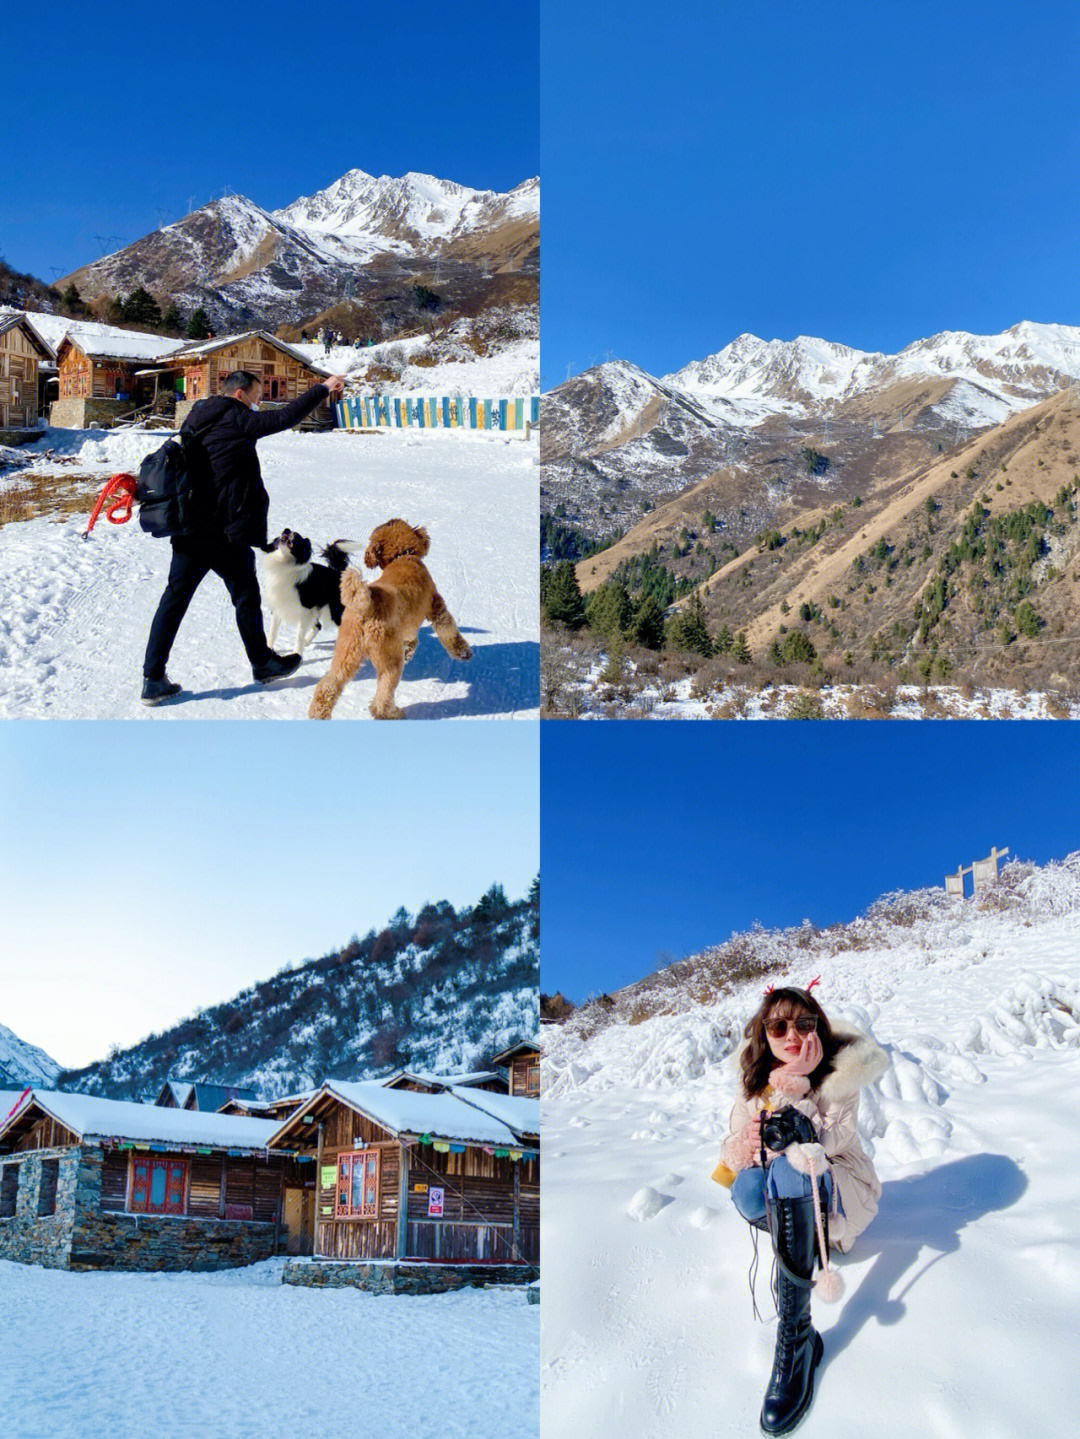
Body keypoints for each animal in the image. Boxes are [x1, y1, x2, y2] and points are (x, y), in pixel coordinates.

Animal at [306, 518, 471, 719]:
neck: (401, 557)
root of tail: (366, 606)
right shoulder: (436, 607)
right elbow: (448, 631)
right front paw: (463, 652)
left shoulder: (407, 628)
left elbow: (412, 640)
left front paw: (409, 651)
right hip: (389, 658)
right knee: (384, 693)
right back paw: (391, 712)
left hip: (347, 651)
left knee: (329, 684)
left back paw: (318, 713)